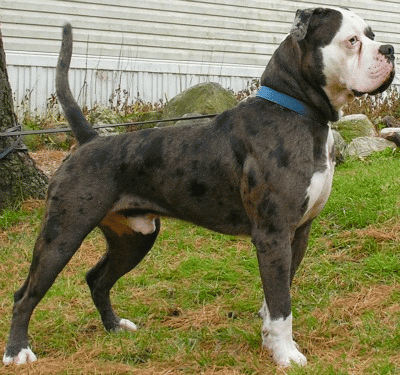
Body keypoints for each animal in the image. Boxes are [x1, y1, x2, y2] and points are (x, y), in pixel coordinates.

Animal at [3, 7, 396, 368]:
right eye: (351, 41)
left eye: (372, 34)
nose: (390, 49)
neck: (296, 111)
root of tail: (88, 141)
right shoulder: (273, 234)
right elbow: (282, 304)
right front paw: (287, 355)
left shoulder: (297, 233)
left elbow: (275, 296)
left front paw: (270, 341)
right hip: (63, 233)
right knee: (25, 295)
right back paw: (17, 352)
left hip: (134, 237)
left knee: (97, 279)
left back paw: (114, 327)